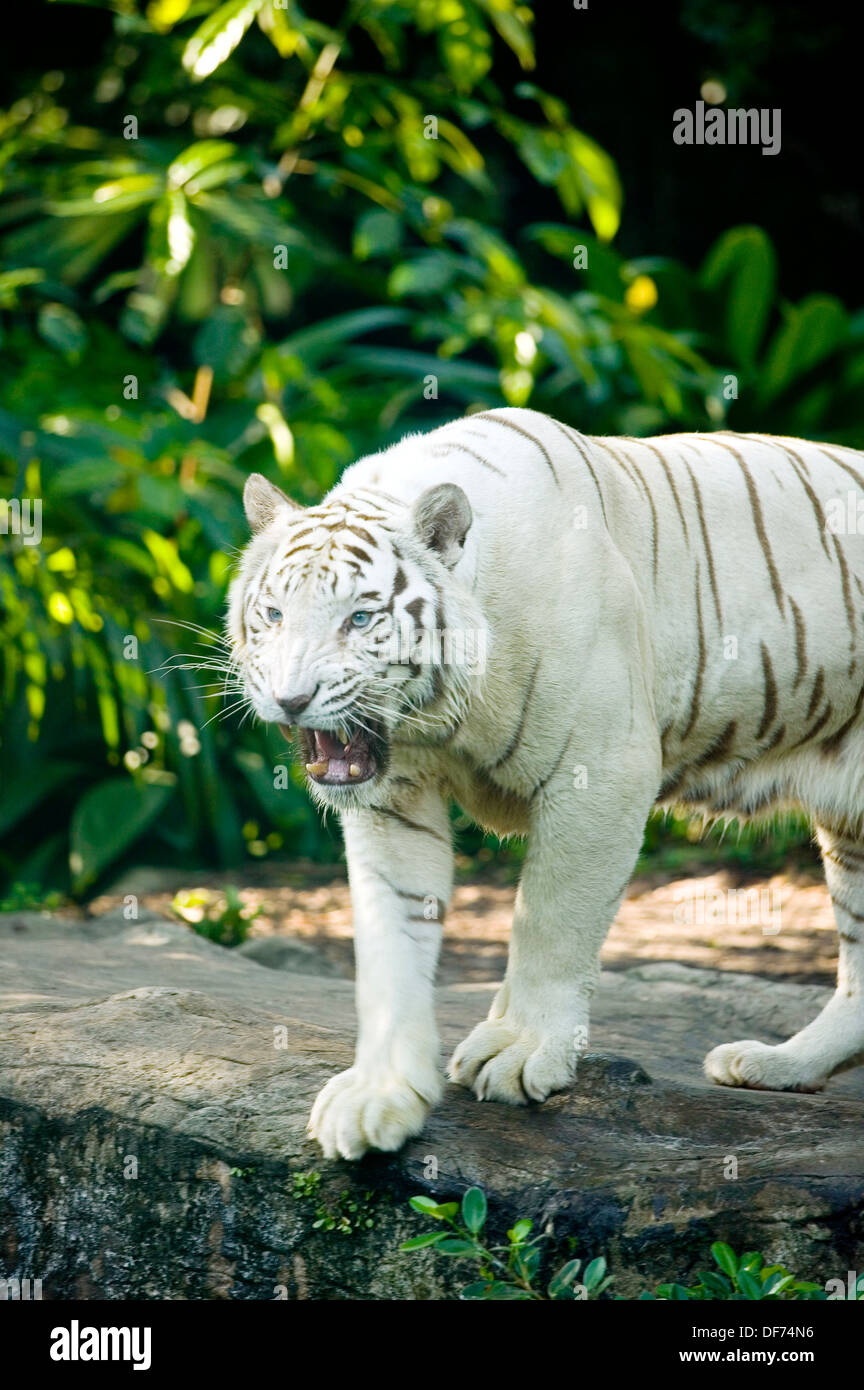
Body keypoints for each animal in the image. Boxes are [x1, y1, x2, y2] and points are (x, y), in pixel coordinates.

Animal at [229, 405, 864, 1162]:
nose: (291, 700)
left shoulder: (602, 770)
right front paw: (380, 1095)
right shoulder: (395, 797)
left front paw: (522, 1051)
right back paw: (777, 1063)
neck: (446, 713)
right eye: (274, 615)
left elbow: (552, 922)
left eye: (360, 618)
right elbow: (391, 941)